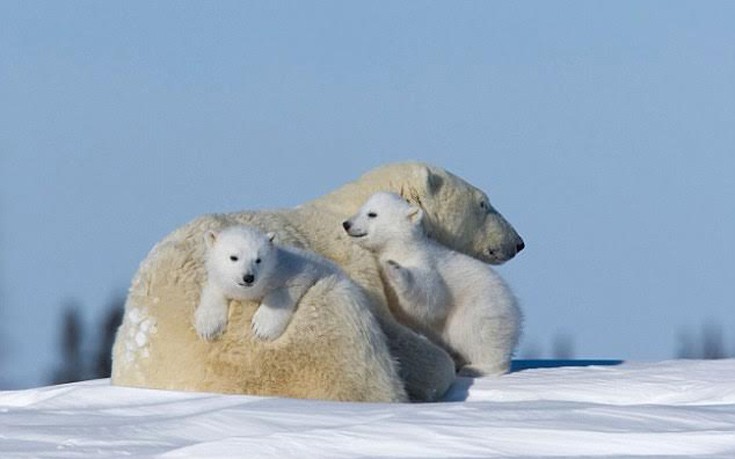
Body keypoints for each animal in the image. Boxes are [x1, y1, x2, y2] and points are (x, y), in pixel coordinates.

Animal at [196, 226, 344, 342]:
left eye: (258, 259)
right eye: (234, 257)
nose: (248, 277)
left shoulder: (296, 269)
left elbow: (286, 290)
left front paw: (261, 328)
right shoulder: (218, 281)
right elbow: (213, 292)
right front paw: (208, 327)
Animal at [344, 192, 524, 376]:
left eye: (372, 214)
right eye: (361, 209)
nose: (347, 224)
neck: (402, 246)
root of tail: (518, 316)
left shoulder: (426, 261)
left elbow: (431, 297)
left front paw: (393, 268)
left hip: (482, 309)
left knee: (481, 336)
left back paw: (476, 368)